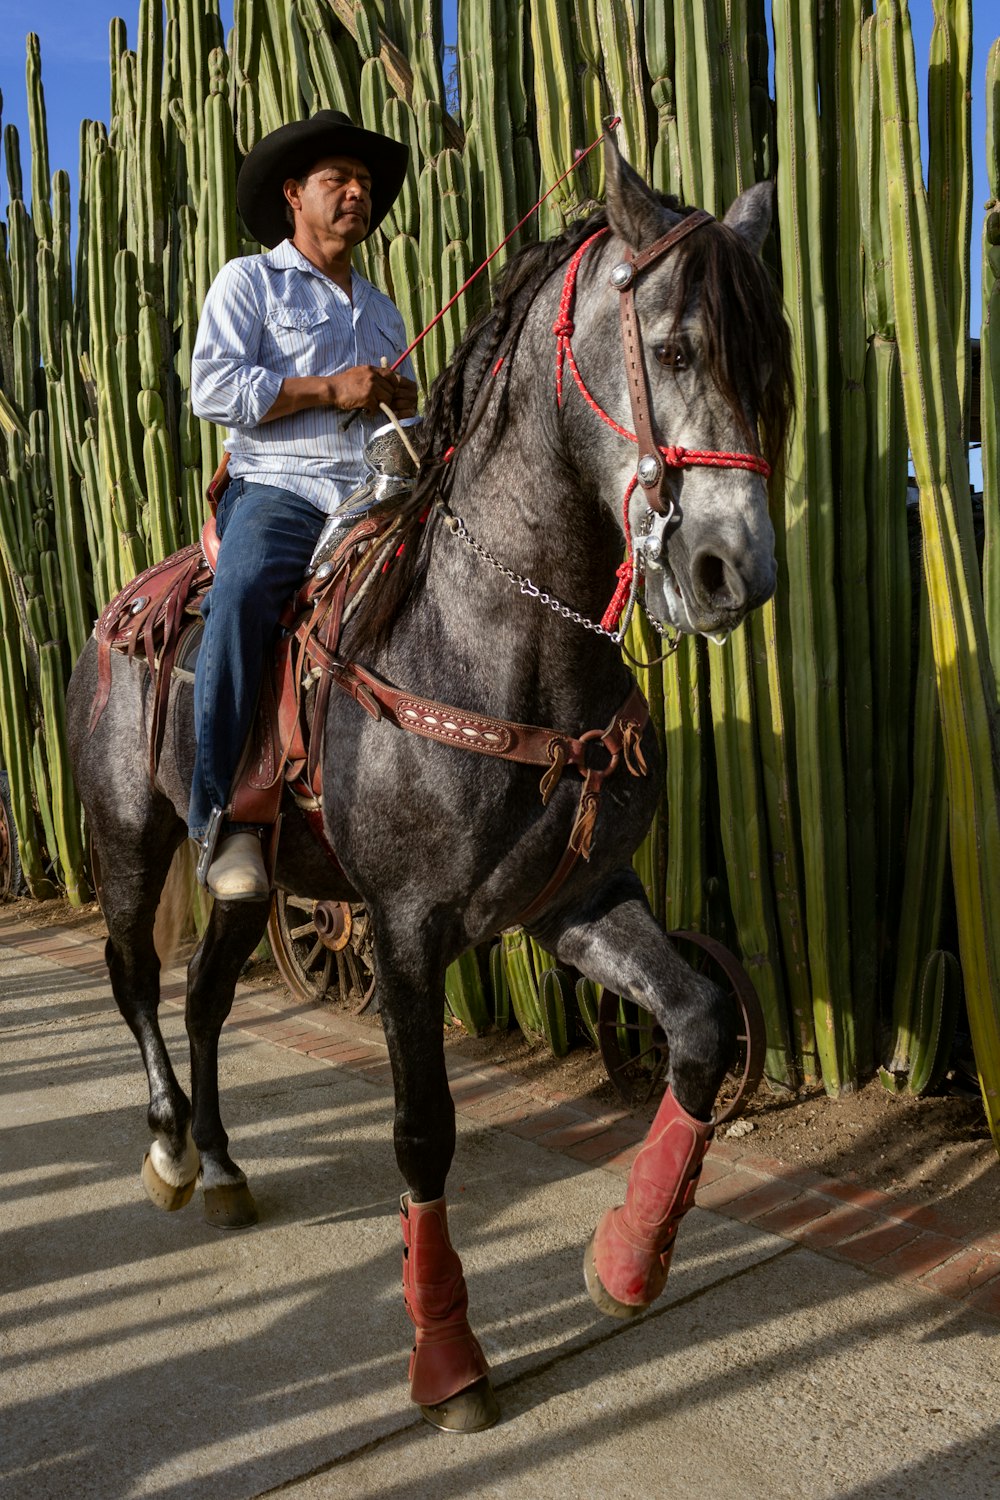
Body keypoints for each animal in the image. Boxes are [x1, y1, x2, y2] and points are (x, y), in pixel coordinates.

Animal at [66, 138, 791, 1428]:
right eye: (673, 349)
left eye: (774, 362)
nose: (731, 570)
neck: (496, 637)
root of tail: (123, 607)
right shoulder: (405, 931)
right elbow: (420, 1132)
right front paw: (447, 1358)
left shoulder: (574, 901)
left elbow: (703, 1024)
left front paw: (627, 1259)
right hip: (126, 839)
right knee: (137, 981)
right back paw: (168, 1148)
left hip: (252, 882)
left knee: (203, 998)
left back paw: (228, 1164)